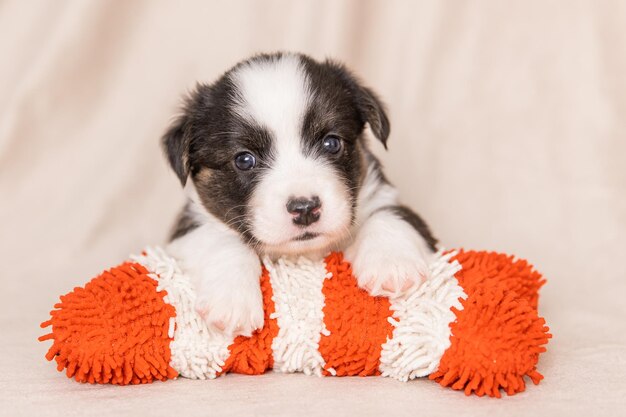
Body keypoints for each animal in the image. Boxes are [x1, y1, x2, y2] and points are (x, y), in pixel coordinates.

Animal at [162, 52, 434, 338]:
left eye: (331, 143)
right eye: (244, 160)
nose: (305, 209)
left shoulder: (390, 201)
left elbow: (389, 216)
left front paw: (393, 265)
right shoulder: (184, 231)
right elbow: (223, 240)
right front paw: (232, 302)